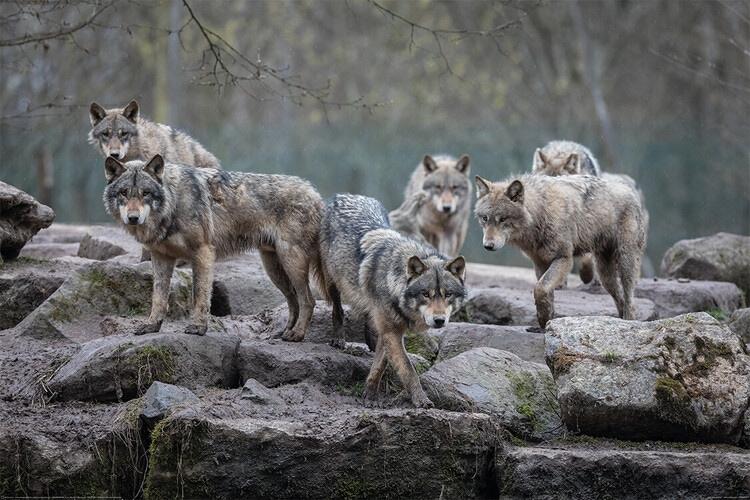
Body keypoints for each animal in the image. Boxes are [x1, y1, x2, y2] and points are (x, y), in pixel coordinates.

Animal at [102, 154, 323, 339]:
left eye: (146, 193)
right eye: (124, 193)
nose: (133, 218)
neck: (173, 203)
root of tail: (315, 193)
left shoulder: (203, 252)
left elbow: (200, 294)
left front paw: (198, 328)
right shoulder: (161, 257)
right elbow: (158, 297)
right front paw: (151, 325)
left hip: (291, 262)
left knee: (308, 300)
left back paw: (297, 335)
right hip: (274, 269)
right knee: (293, 300)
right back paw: (284, 332)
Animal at [320, 194, 467, 408]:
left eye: (447, 294)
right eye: (426, 294)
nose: (439, 320)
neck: (394, 281)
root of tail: (345, 195)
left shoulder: (390, 331)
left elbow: (380, 364)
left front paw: (370, 394)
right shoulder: (392, 332)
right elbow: (408, 369)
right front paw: (421, 400)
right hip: (332, 281)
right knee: (337, 309)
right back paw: (339, 338)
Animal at [475, 173, 646, 328]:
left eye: (502, 219)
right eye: (485, 218)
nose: (488, 246)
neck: (541, 212)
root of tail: (630, 191)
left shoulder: (564, 259)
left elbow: (540, 288)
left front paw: (544, 319)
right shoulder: (540, 263)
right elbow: (545, 292)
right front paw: (546, 320)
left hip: (625, 263)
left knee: (630, 300)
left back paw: (629, 322)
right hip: (605, 275)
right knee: (620, 299)